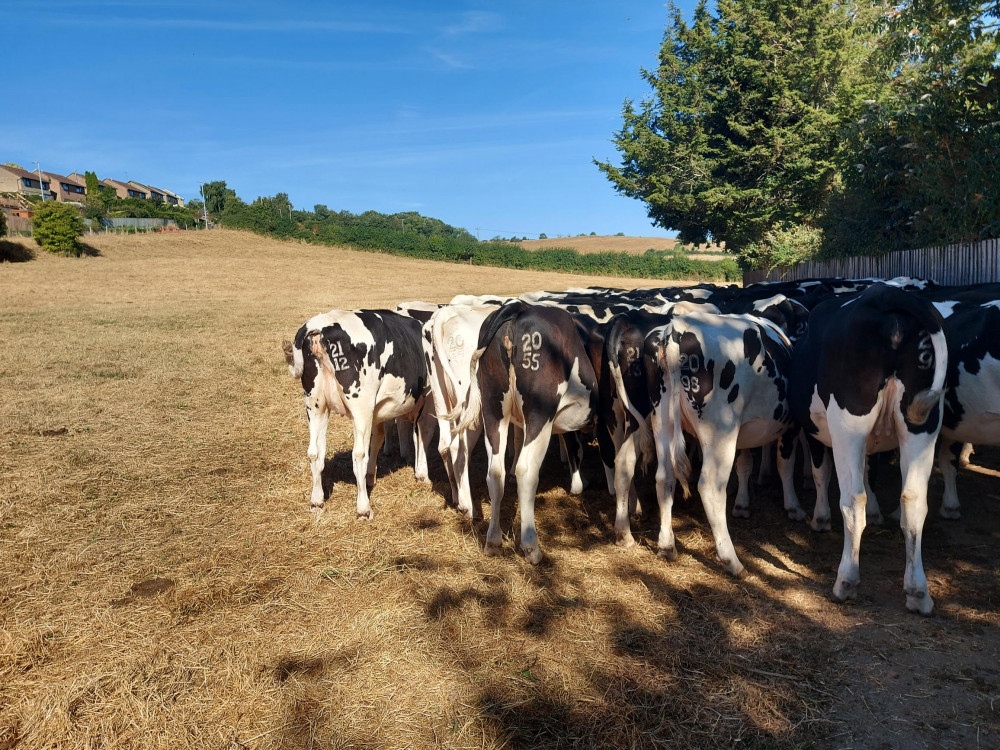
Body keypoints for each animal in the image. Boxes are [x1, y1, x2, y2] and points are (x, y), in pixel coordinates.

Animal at [286, 308, 434, 520]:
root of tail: (319, 325)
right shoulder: (426, 401)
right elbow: (421, 435)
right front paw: (422, 475)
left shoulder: (377, 410)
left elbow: (378, 438)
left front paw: (372, 476)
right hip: (360, 405)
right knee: (358, 455)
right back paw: (363, 508)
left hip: (315, 405)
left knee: (315, 452)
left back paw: (316, 500)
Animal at [450, 302, 596, 564]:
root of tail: (518, 308)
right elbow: (577, 446)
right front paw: (580, 485)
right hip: (540, 411)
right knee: (526, 471)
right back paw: (531, 548)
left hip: (493, 408)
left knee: (495, 472)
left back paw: (493, 541)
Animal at [788, 284, 944, 612]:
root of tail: (888, 295)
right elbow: (870, 474)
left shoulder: (814, 431)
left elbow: (821, 473)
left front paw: (820, 519)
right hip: (922, 424)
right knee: (914, 501)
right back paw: (918, 592)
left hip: (849, 424)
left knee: (852, 499)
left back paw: (846, 581)